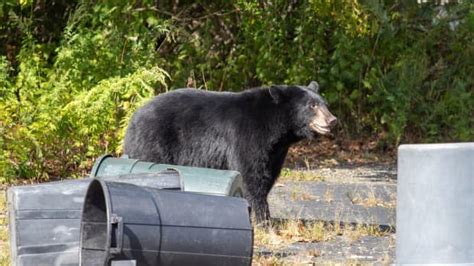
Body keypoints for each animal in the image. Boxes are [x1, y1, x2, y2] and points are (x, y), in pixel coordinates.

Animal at [122, 81, 336, 222]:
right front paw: (263, 220)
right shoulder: (248, 136)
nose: (332, 120)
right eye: (312, 105)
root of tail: (134, 118)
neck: (277, 128)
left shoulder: (275, 151)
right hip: (155, 141)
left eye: (325, 103)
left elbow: (267, 175)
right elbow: (251, 175)